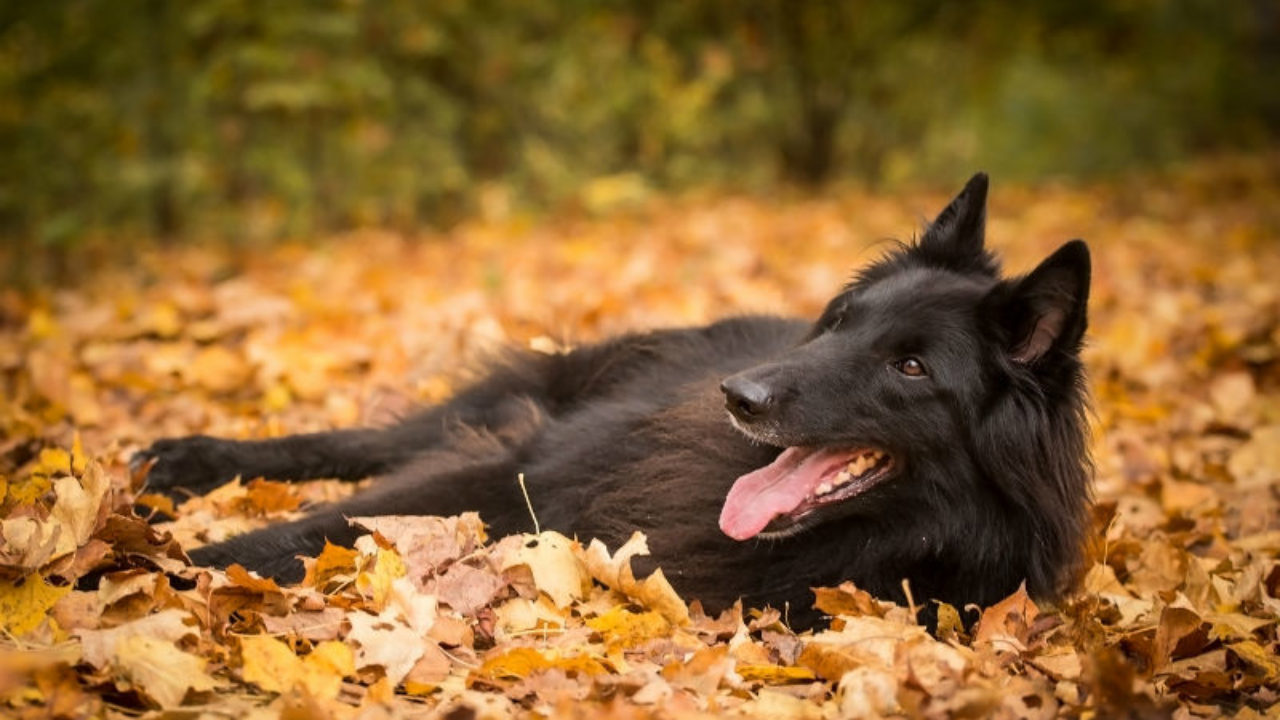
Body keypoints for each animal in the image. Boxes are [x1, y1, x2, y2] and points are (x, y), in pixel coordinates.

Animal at [132, 174, 1090, 622]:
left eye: (912, 369)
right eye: (842, 322)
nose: (738, 396)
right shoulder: (528, 468)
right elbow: (315, 523)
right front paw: (159, 563)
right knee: (363, 445)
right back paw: (181, 461)